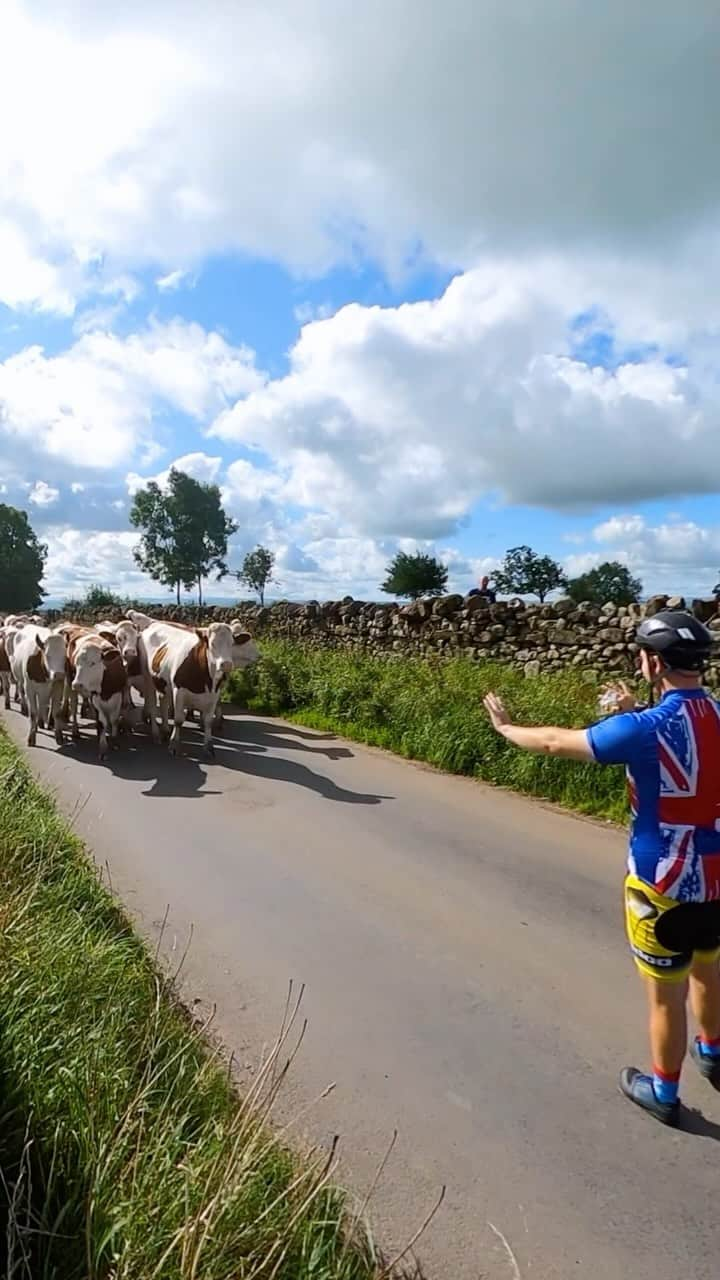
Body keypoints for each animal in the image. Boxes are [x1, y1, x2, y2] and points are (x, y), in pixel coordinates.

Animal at [137, 616, 233, 747]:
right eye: (212, 644)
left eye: (232, 643)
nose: (227, 664)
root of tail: (155, 624)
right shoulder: (179, 690)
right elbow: (178, 720)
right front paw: (174, 744)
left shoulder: (214, 694)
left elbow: (208, 721)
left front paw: (209, 746)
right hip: (148, 676)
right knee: (151, 703)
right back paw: (156, 734)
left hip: (164, 682)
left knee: (163, 701)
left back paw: (165, 730)